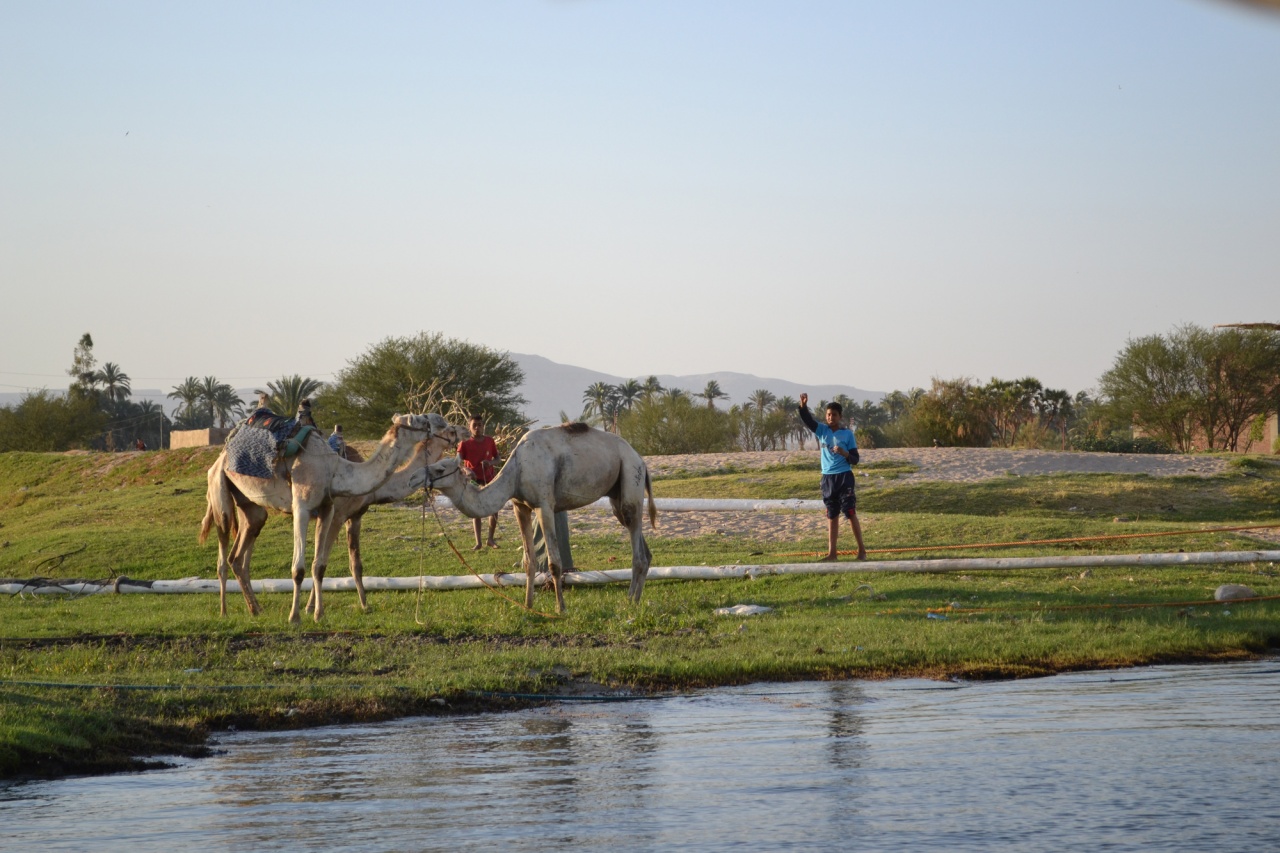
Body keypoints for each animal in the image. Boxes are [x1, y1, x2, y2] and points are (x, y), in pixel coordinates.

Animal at [195, 409, 465, 617]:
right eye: (427, 420)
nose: (460, 430)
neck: (337, 471)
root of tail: (220, 457)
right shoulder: (308, 509)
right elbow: (300, 568)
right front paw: (297, 615)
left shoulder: (336, 511)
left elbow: (327, 565)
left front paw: (325, 612)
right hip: (219, 491)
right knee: (222, 556)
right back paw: (224, 612)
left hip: (251, 507)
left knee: (240, 555)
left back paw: (255, 609)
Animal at [422, 422, 655, 612]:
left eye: (440, 468)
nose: (420, 476)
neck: (517, 471)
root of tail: (641, 460)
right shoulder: (519, 506)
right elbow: (529, 561)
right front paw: (528, 605)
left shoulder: (544, 505)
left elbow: (554, 563)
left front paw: (561, 609)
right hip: (617, 496)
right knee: (643, 547)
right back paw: (634, 599)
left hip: (630, 475)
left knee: (637, 549)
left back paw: (630, 601)